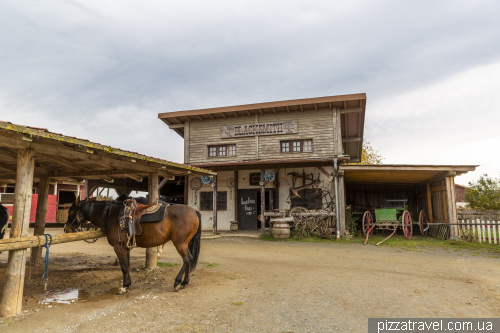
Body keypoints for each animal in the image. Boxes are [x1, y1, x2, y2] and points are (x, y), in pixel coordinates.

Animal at [64, 196, 201, 292]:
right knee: (189, 260)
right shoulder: (126, 248)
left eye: (70, 212)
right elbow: (127, 265)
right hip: (185, 243)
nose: (66, 229)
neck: (112, 216)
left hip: (180, 244)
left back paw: (178, 282)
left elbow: (124, 266)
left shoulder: (119, 247)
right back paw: (184, 282)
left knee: (187, 259)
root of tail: (194, 211)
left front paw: (124, 287)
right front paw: (128, 284)